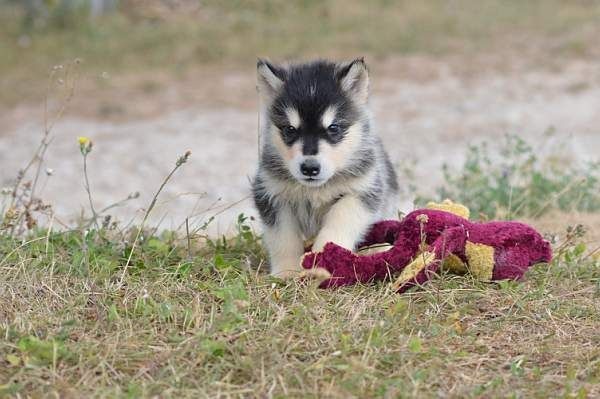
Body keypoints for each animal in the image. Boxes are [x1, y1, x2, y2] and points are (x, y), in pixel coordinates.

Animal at [253, 58, 398, 278]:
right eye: (290, 129)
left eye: (333, 128)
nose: (309, 168)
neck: (316, 189)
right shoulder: (271, 194)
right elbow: (283, 237)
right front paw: (286, 271)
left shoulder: (364, 191)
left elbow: (340, 219)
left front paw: (322, 264)